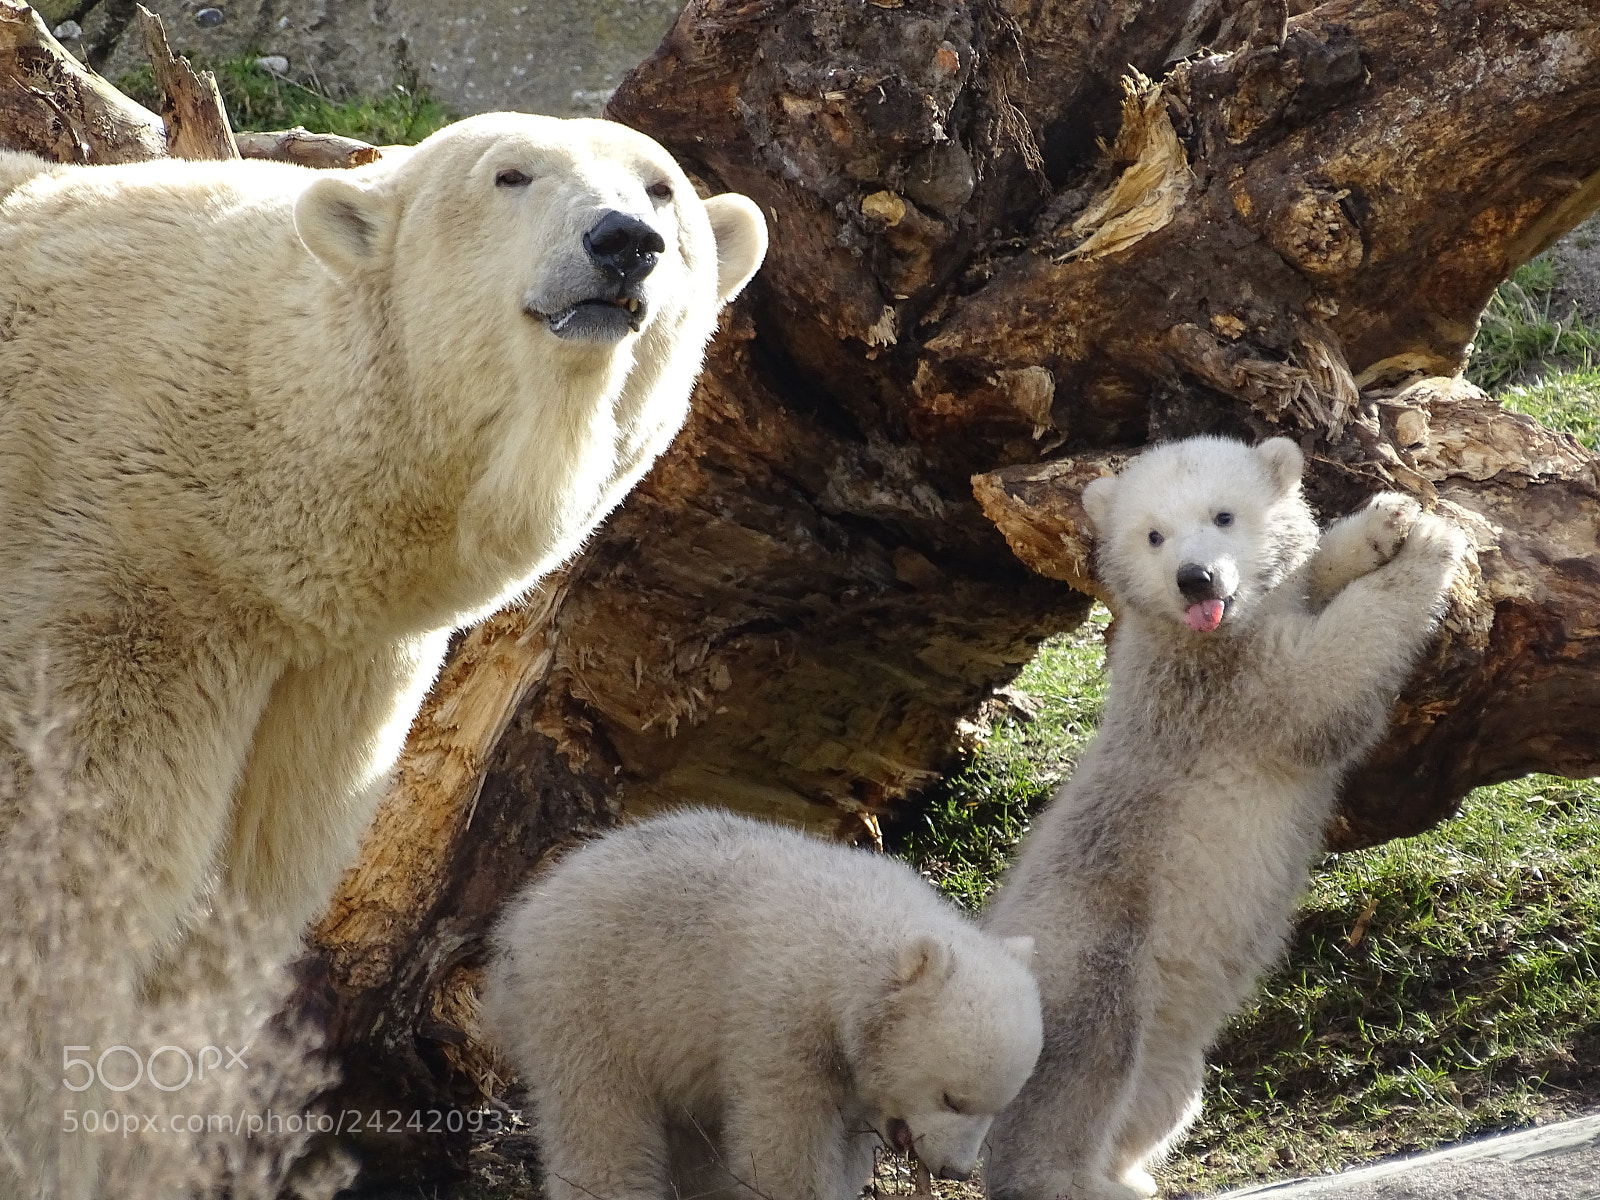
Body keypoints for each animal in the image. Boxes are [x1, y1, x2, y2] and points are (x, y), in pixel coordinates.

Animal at [0, 113, 765, 1186]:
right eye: (511, 175)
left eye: (661, 188)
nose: (624, 243)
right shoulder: (116, 579)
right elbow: (63, 867)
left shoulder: (338, 665)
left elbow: (252, 888)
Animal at [481, 807, 1045, 1200]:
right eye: (953, 1099)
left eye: (999, 1106)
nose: (955, 1170)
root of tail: (525, 914)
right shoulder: (781, 1019)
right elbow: (785, 1144)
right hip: (589, 999)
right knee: (600, 1120)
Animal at [979, 436, 1469, 1200]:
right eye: (1153, 534)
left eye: (1224, 514)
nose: (1196, 579)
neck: (1190, 633)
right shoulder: (1217, 688)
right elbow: (1323, 687)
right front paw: (1431, 545)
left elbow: (1307, 581)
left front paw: (1383, 523)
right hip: (1088, 945)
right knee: (1082, 1062)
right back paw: (1080, 1180)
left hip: (1169, 1038)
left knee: (1164, 1089)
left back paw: (1134, 1175)